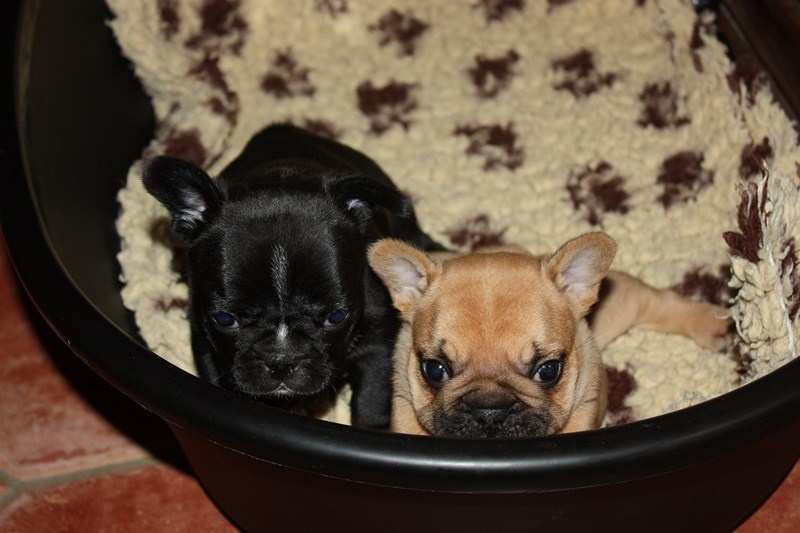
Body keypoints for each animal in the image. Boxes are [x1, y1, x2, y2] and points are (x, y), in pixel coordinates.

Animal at [145, 122, 444, 426]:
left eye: (337, 317)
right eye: (225, 320)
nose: (282, 361)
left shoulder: (377, 342)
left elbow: (372, 397)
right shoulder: (206, 341)